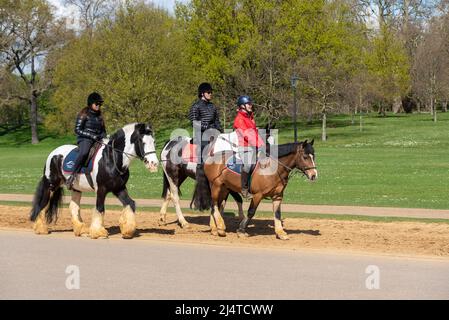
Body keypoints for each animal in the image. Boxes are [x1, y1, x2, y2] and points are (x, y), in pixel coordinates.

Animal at [28, 122, 158, 240]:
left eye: (154, 142)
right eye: (142, 142)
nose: (154, 163)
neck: (111, 159)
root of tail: (53, 154)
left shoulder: (119, 188)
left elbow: (130, 203)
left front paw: (127, 231)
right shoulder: (101, 189)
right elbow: (100, 209)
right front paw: (98, 233)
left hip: (76, 188)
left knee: (73, 207)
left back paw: (81, 230)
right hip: (51, 185)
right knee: (42, 204)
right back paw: (41, 229)